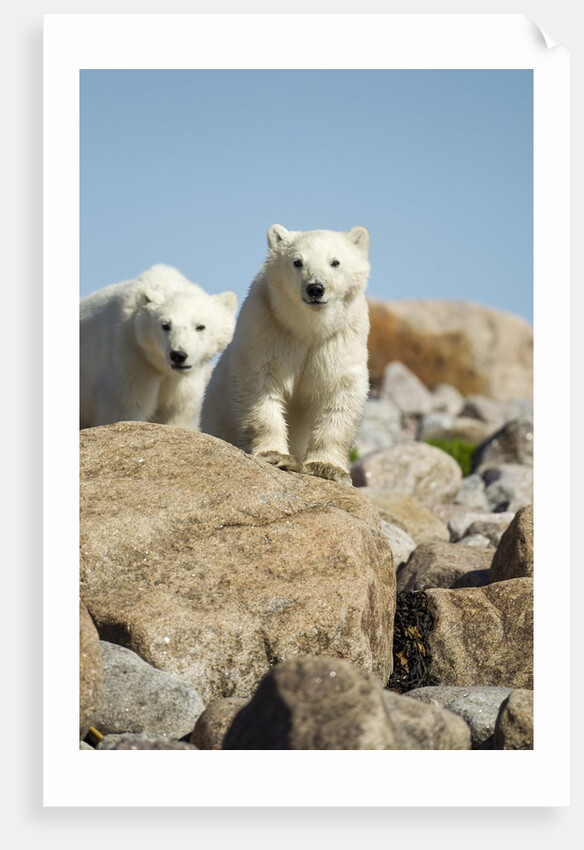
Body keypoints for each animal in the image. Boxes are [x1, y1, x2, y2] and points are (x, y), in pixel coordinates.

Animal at [80, 263, 237, 430]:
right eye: (165, 325)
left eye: (200, 326)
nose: (178, 355)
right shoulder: (128, 355)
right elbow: (125, 406)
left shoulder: (185, 382)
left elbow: (177, 411)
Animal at [200, 224, 371, 485]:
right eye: (297, 262)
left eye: (335, 262)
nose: (315, 288)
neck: (308, 328)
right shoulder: (268, 327)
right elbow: (260, 386)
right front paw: (276, 455)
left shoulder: (340, 339)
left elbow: (339, 393)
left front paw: (327, 468)